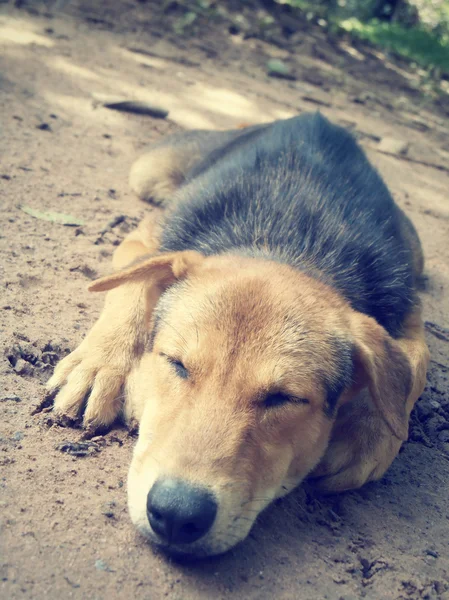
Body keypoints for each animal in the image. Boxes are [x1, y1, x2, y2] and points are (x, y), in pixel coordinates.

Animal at [47, 112, 428, 556]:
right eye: (176, 364)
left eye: (285, 398)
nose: (176, 516)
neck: (286, 245)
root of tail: (311, 117)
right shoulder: (145, 240)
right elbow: (129, 289)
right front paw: (99, 365)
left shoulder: (409, 307)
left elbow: (413, 363)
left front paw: (370, 431)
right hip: (149, 171)